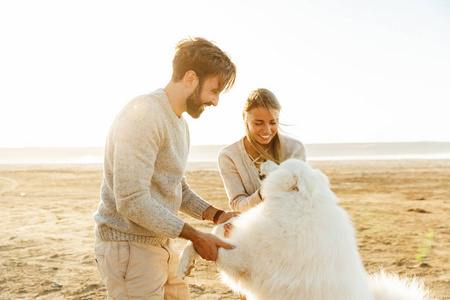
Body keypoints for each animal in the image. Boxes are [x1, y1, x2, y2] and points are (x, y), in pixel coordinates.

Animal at [179, 159, 436, 300]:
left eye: (280, 165)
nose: (260, 160)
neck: (298, 207)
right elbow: (199, 241)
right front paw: (184, 265)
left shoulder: (247, 260)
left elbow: (213, 250)